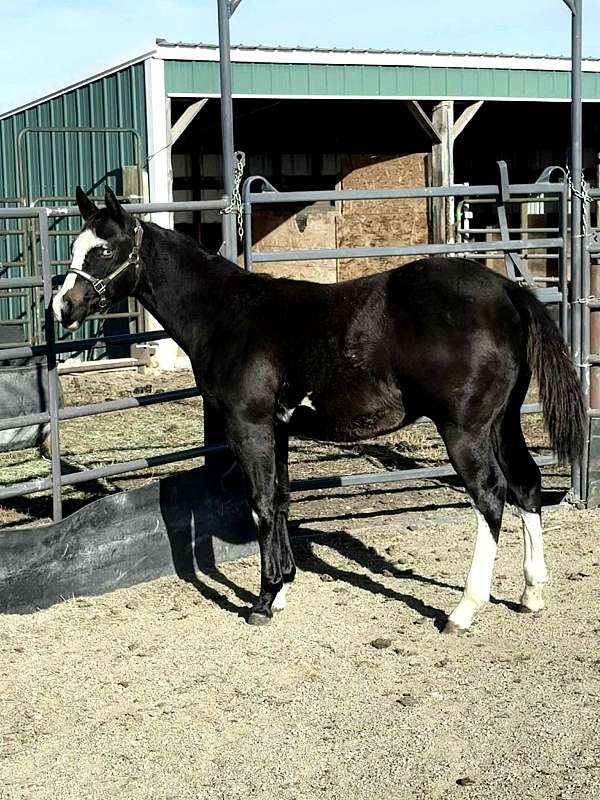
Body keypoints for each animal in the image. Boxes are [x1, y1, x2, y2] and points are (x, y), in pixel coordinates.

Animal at [53, 186, 585, 632]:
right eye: (76, 246)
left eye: (104, 249)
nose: (62, 307)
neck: (228, 315)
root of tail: (506, 291)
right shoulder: (278, 429)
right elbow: (282, 499)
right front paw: (283, 587)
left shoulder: (248, 426)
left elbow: (261, 504)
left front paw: (264, 601)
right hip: (503, 422)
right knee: (527, 483)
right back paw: (532, 593)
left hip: (466, 431)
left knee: (491, 496)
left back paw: (463, 610)